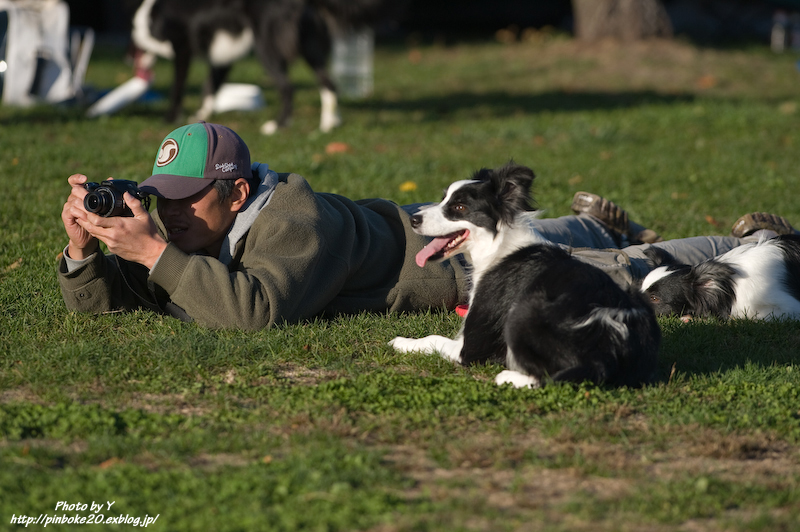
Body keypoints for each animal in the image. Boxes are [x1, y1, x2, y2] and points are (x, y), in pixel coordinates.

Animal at [133, 0, 406, 135]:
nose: (129, 59)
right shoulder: (224, 57)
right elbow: (210, 86)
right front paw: (201, 117)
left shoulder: (183, 49)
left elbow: (178, 88)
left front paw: (171, 117)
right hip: (309, 48)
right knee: (329, 83)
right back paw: (329, 123)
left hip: (266, 47)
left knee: (287, 87)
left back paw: (277, 125)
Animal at [390, 164, 664, 388]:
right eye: (443, 199)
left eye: (459, 207)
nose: (413, 219)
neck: (496, 244)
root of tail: (607, 349)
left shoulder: (470, 347)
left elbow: (433, 338)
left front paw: (402, 342)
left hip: (522, 311)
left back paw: (508, 377)